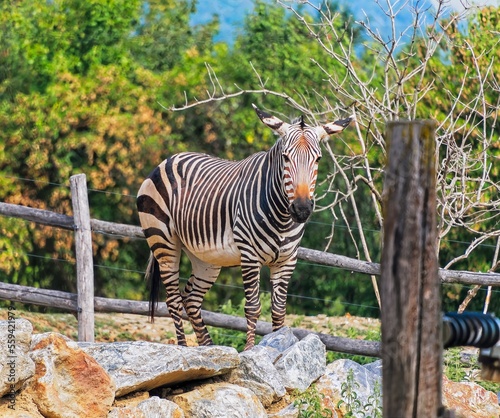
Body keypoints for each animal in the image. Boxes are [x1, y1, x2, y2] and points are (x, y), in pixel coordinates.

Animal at [137, 104, 352, 350]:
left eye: (317, 159)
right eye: (286, 158)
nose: (302, 209)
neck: (281, 217)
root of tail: (169, 159)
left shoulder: (287, 260)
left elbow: (279, 311)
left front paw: (279, 343)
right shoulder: (250, 256)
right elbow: (253, 308)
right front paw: (250, 350)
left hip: (205, 257)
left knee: (191, 299)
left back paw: (209, 347)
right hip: (164, 241)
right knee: (172, 300)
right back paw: (183, 348)